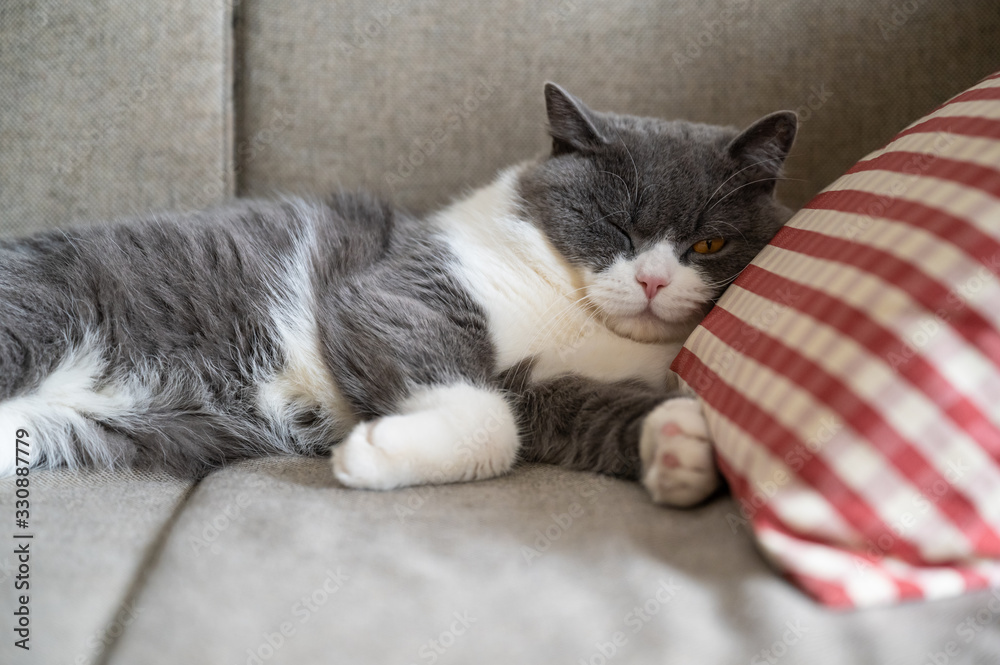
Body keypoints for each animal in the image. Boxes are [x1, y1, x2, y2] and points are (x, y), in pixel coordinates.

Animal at [0, 85, 796, 506]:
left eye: (709, 244)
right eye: (613, 223)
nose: (654, 281)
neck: (585, 320)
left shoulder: (541, 388)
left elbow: (570, 414)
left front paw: (682, 443)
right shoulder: (397, 289)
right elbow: (491, 424)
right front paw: (370, 453)